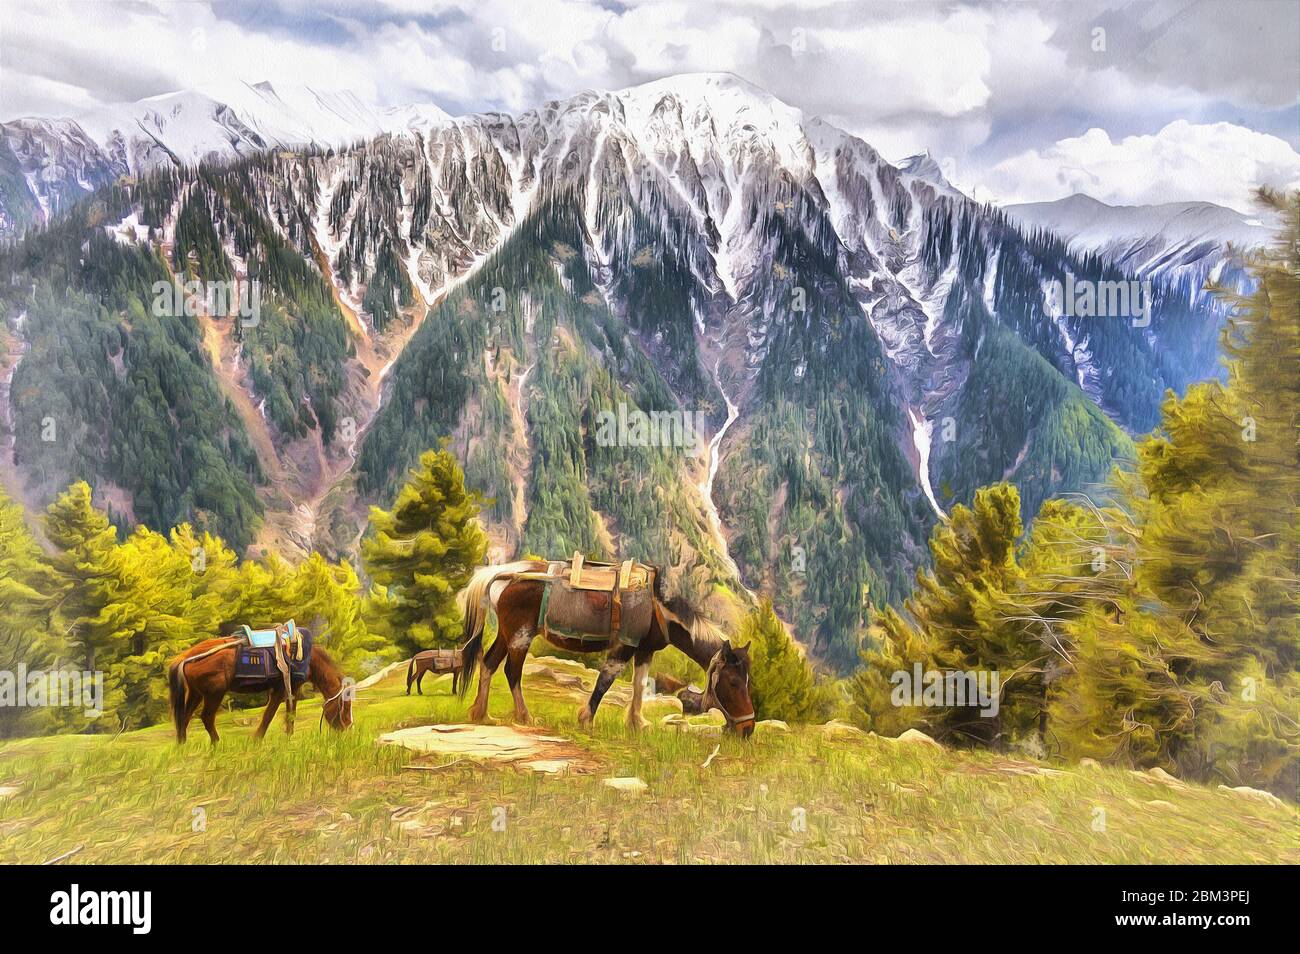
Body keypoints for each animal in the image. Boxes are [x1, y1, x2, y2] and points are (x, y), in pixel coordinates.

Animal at [165, 634, 353, 748]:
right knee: (206, 717)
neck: (305, 656)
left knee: (184, 718)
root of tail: (186, 657)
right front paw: (257, 739)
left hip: (196, 694)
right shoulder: (280, 689)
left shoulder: (292, 688)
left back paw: (181, 746)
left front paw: (288, 737)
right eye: (345, 706)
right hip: (214, 694)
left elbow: (290, 714)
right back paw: (217, 744)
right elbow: (269, 715)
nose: (347, 728)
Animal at [457, 561, 759, 738]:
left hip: (506, 633)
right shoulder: (624, 646)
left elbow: (639, 685)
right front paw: (586, 719)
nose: (748, 729)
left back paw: (481, 713)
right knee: (512, 671)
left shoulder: (645, 650)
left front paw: (637, 723)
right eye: (733, 682)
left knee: (489, 663)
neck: (658, 609)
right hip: (520, 635)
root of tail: (503, 575)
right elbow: (605, 681)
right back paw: (524, 716)